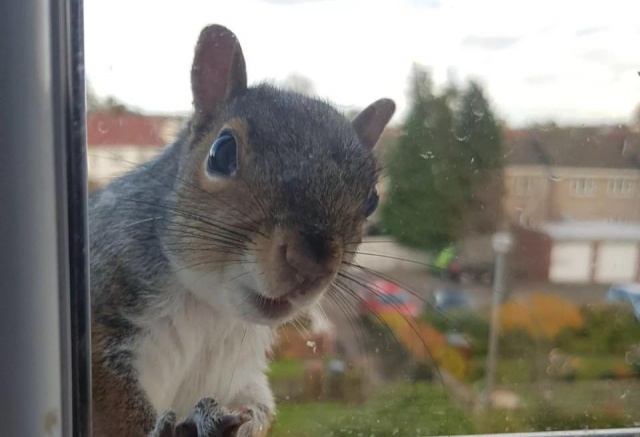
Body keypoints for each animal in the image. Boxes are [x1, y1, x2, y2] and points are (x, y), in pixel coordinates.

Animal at [90, 24, 395, 437]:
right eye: (222, 153)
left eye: (372, 199)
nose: (311, 264)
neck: (210, 312)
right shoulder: (104, 307)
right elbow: (114, 399)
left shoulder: (240, 374)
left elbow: (258, 406)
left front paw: (235, 422)